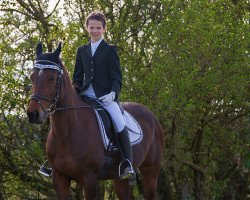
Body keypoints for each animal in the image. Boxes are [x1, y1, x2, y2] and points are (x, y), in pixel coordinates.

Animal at [26, 43, 164, 199]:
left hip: (151, 173)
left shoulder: (89, 179)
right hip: (119, 179)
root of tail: (151, 115)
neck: (67, 133)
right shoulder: (59, 179)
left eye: (51, 78)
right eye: (32, 77)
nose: (33, 114)